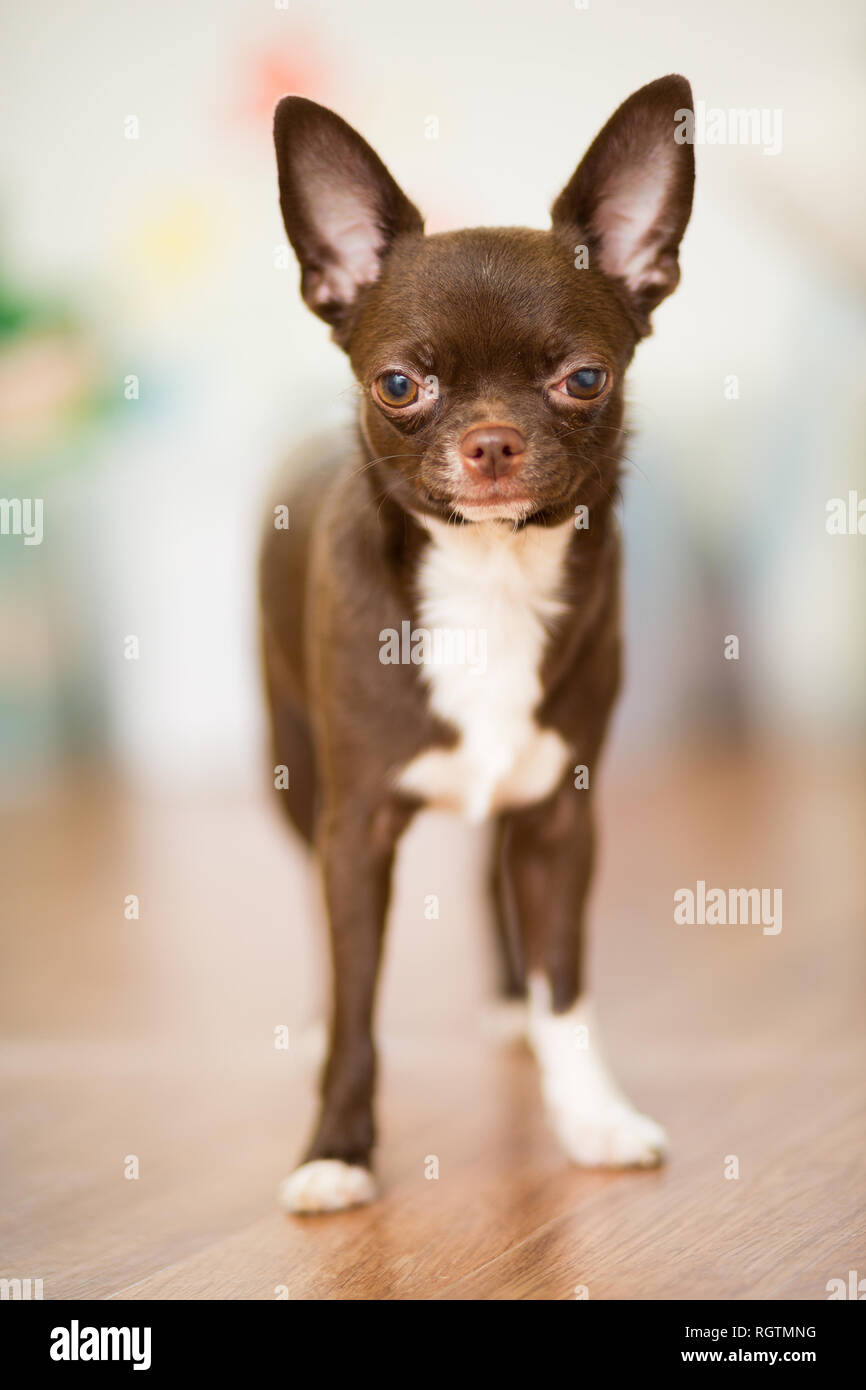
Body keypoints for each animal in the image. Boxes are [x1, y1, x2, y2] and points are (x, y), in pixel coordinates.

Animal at [261, 76, 695, 1212]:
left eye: (583, 379)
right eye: (399, 385)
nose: (491, 440)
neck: (490, 581)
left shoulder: (560, 818)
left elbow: (567, 986)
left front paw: (589, 1113)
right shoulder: (356, 830)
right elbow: (359, 1001)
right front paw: (335, 1147)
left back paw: (509, 1007)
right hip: (295, 777)